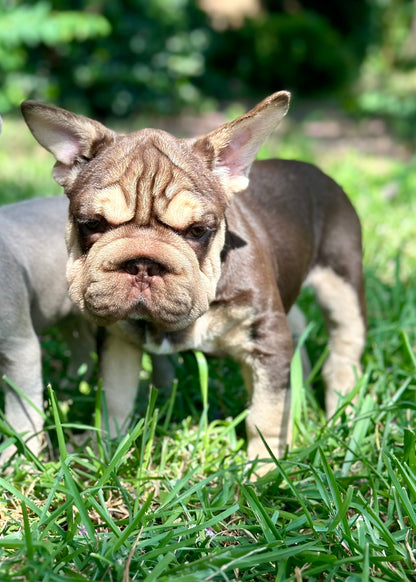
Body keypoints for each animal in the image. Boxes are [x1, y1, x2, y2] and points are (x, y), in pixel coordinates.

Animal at [21, 94, 366, 470]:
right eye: (92, 224)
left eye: (198, 231)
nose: (142, 264)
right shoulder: (119, 341)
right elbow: (115, 398)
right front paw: (101, 450)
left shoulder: (266, 335)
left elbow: (266, 412)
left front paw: (263, 467)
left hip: (342, 284)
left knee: (344, 348)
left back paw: (344, 407)